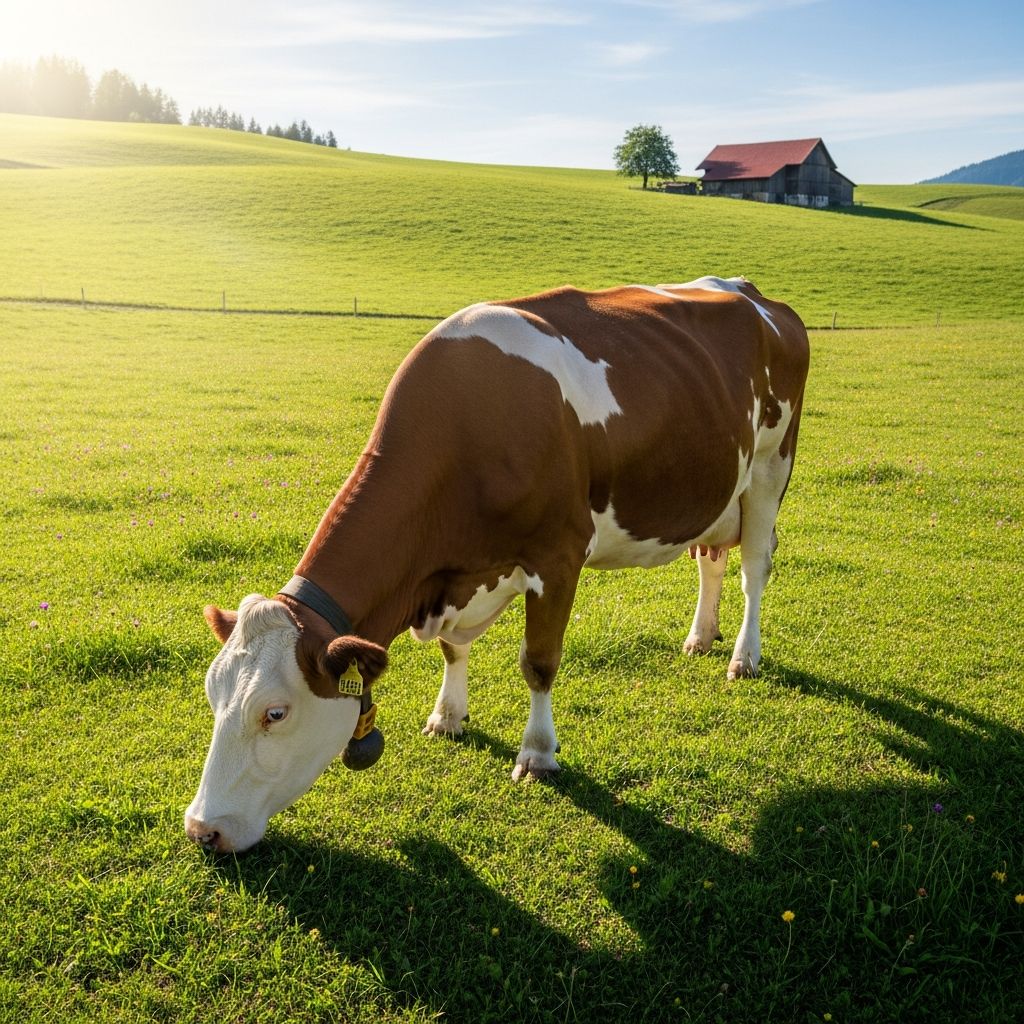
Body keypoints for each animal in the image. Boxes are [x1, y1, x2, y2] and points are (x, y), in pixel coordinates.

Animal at [185, 277, 809, 853]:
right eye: (214, 696)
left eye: (275, 713)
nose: (201, 829)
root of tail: (749, 292)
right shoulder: (455, 579)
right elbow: (452, 649)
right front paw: (447, 715)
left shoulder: (558, 556)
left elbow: (538, 662)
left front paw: (537, 753)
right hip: (717, 487)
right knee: (711, 562)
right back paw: (701, 637)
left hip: (770, 468)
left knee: (754, 569)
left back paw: (743, 657)